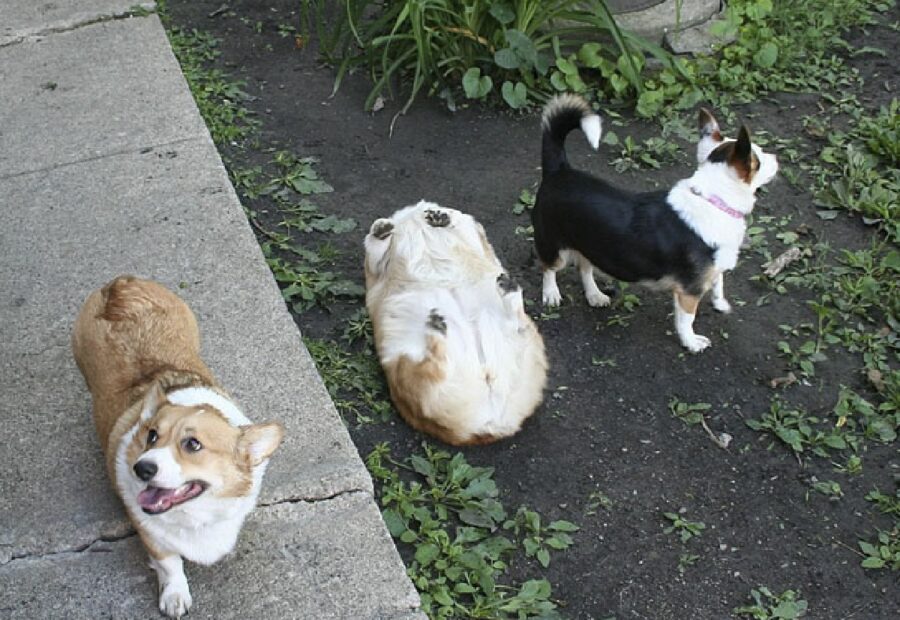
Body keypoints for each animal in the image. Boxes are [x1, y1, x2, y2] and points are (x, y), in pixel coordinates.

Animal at [364, 201, 548, 444]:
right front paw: (384, 227)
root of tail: (493, 425)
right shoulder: (377, 267)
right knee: (434, 364)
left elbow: (462, 225)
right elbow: (375, 246)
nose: (433, 216)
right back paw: (437, 324)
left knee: (516, 324)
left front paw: (440, 217)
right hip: (403, 363)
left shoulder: (473, 235)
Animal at [532, 94, 776, 352]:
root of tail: (559, 170)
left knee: (584, 267)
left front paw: (720, 304)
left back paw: (595, 295)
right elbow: (687, 319)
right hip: (552, 245)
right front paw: (691, 342)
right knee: (549, 268)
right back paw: (551, 293)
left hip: (589, 244)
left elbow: (719, 283)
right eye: (759, 158)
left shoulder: (711, 269)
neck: (714, 200)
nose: (776, 157)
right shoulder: (689, 291)